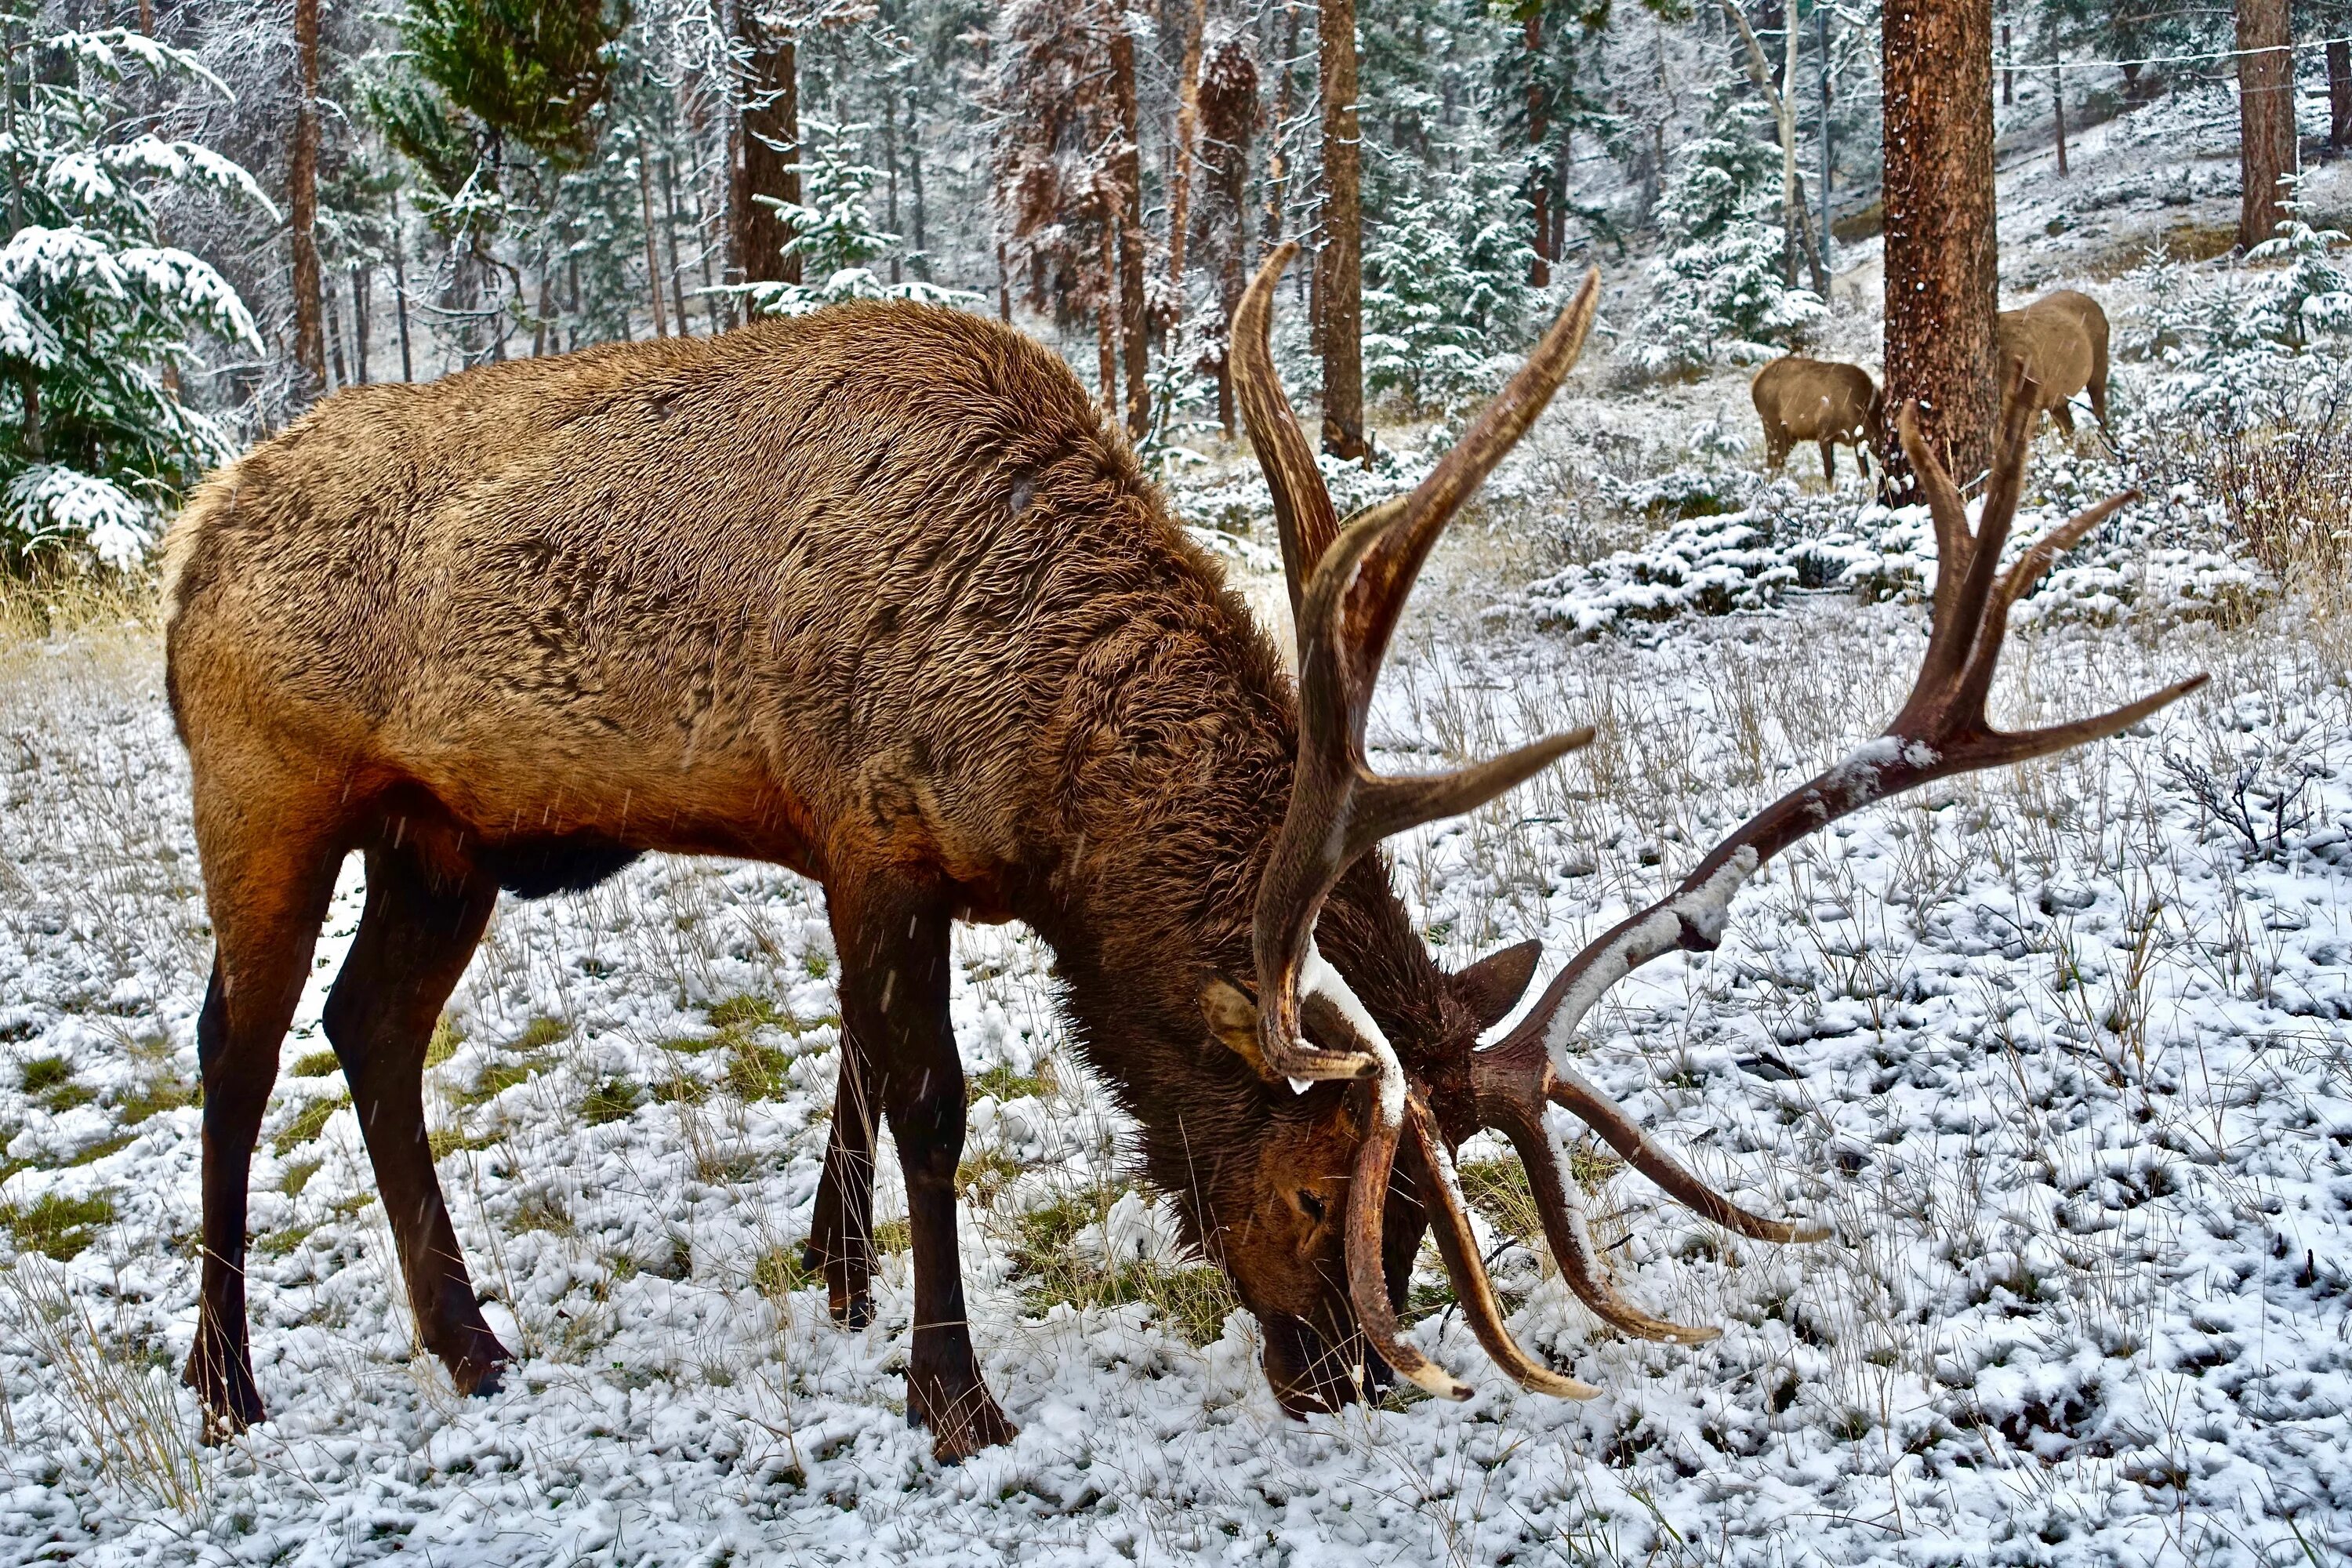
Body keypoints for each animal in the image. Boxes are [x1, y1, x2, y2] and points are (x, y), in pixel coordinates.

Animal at [1750, 357, 1891, 484]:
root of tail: (1755, 383)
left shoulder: (1858, 441)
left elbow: (1865, 473)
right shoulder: (1824, 434)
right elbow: (1829, 473)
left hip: (1790, 434)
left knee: (1778, 461)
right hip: (1770, 421)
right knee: (1771, 460)